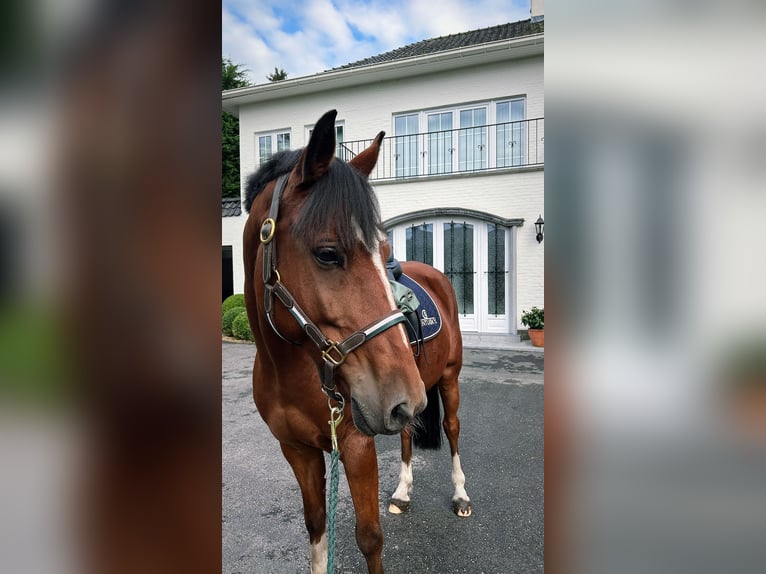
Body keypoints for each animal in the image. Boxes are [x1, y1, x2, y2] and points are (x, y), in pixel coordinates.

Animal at [246, 109, 474, 574]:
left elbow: (369, 538)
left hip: (446, 380)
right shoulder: (296, 450)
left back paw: (461, 495)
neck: (290, 371)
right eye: (327, 253)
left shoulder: (354, 444)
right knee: (407, 435)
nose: (403, 396)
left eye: (383, 252)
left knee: (452, 429)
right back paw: (403, 491)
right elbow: (317, 528)